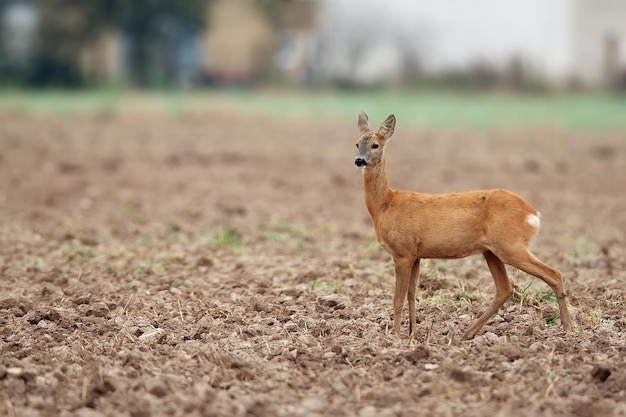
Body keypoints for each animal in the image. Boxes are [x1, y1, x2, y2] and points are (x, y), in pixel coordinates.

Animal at [352, 112, 572, 340]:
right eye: (357, 143)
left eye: (375, 145)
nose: (359, 160)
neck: (385, 204)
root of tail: (532, 213)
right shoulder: (416, 254)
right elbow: (412, 294)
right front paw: (413, 333)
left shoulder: (402, 252)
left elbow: (398, 298)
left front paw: (395, 336)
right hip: (491, 251)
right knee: (504, 289)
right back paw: (467, 333)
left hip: (510, 245)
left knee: (554, 274)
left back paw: (568, 328)